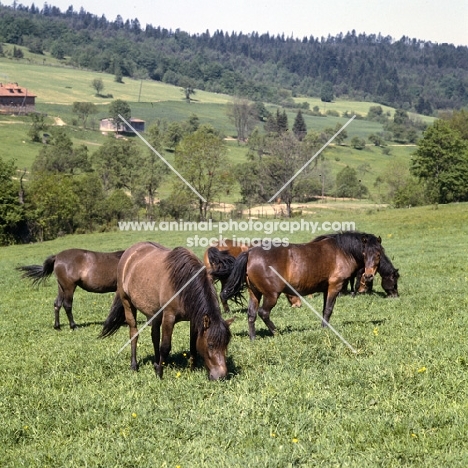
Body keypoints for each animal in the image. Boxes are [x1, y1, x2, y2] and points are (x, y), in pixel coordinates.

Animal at [101, 241, 234, 380]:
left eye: (226, 344)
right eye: (210, 345)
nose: (221, 376)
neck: (183, 284)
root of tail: (129, 252)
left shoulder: (194, 319)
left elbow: (192, 344)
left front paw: (192, 369)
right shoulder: (169, 317)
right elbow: (165, 346)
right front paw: (159, 373)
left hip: (154, 312)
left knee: (154, 335)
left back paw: (156, 362)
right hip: (127, 302)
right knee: (134, 333)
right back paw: (134, 365)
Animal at [221, 233, 382, 340]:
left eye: (378, 254)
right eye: (364, 253)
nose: (368, 275)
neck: (342, 251)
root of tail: (250, 253)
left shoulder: (326, 289)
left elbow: (324, 310)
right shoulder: (334, 287)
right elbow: (328, 310)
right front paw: (325, 330)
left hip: (254, 293)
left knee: (251, 315)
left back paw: (253, 338)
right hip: (271, 295)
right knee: (263, 313)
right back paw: (276, 333)